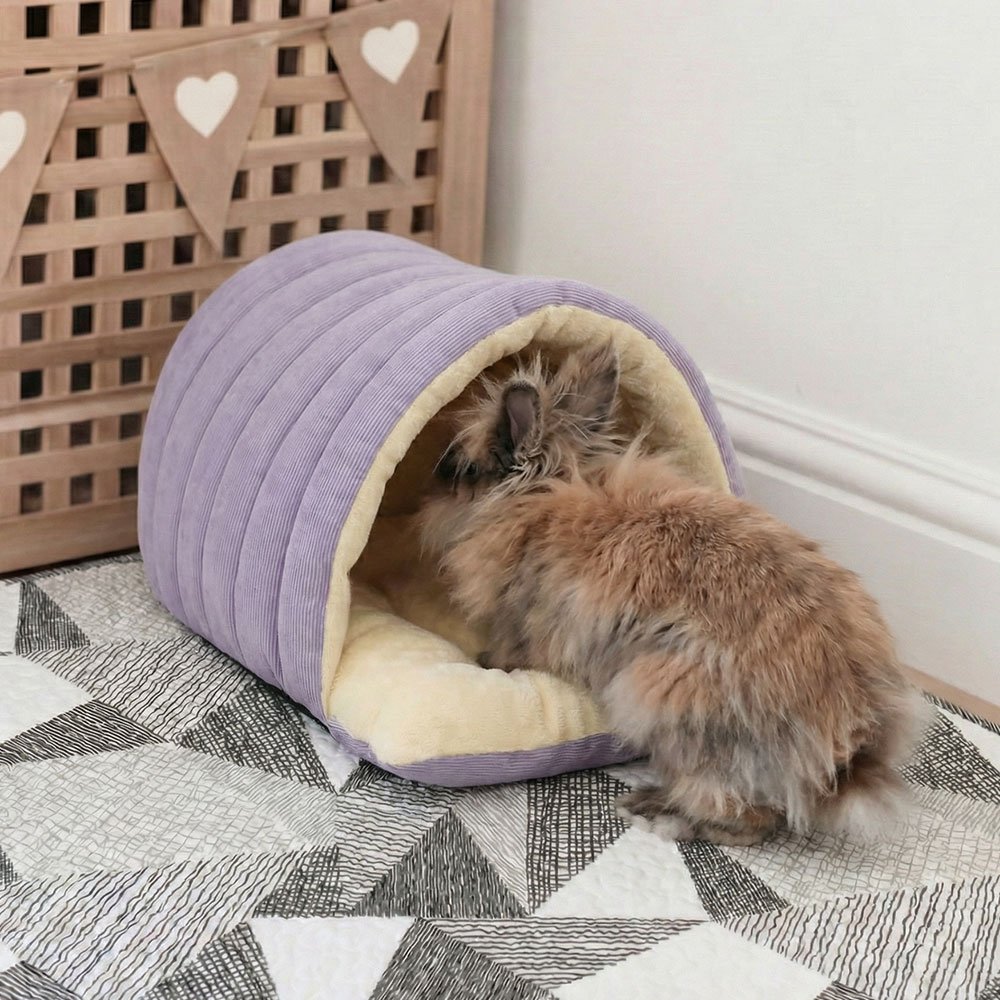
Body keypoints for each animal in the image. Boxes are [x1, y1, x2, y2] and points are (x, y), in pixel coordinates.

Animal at [419, 342, 928, 846]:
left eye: (461, 470)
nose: (426, 493)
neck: (541, 496)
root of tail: (850, 748)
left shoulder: (523, 624)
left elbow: (511, 651)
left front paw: (487, 662)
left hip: (663, 700)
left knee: (750, 819)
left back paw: (655, 812)